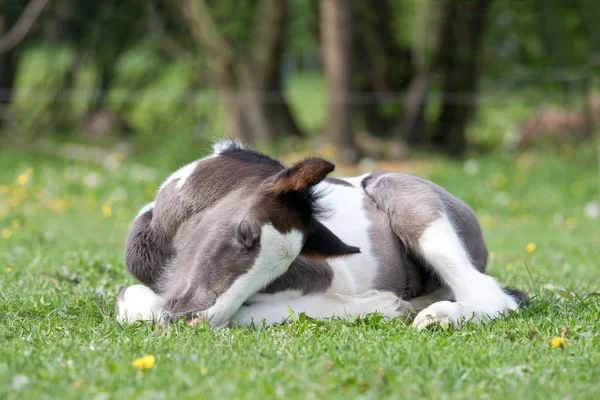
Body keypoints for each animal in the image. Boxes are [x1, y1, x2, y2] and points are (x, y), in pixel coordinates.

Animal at [115, 141, 524, 328]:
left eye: (283, 267)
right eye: (245, 233)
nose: (194, 320)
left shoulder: (330, 273)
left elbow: (247, 313)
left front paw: (382, 304)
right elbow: (135, 302)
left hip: (404, 195)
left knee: (493, 294)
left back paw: (436, 316)